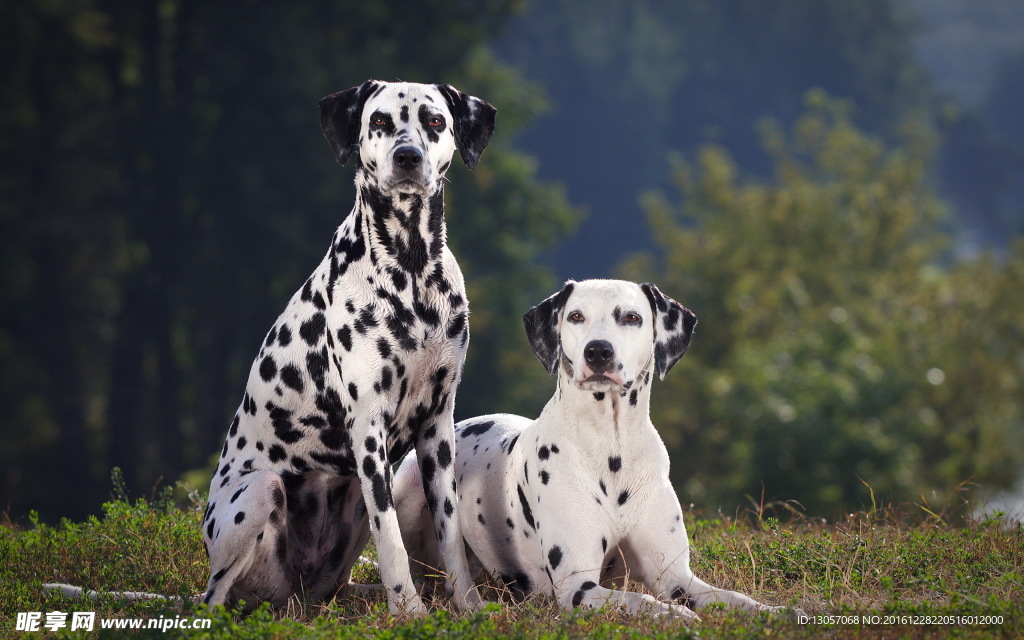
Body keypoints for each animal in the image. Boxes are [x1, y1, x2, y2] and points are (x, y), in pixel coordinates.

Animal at [199, 79, 495, 614]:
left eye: (435, 121)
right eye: (379, 121)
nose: (407, 156)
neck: (411, 269)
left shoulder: (438, 426)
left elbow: (450, 533)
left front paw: (468, 606)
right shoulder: (368, 432)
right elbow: (391, 539)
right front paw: (410, 612)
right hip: (259, 492)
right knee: (213, 598)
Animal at [391, 278, 790, 618]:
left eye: (631, 317)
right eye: (575, 316)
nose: (598, 351)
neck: (611, 449)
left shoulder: (677, 576)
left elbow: (733, 598)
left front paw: (777, 612)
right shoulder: (577, 587)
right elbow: (641, 599)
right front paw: (676, 615)